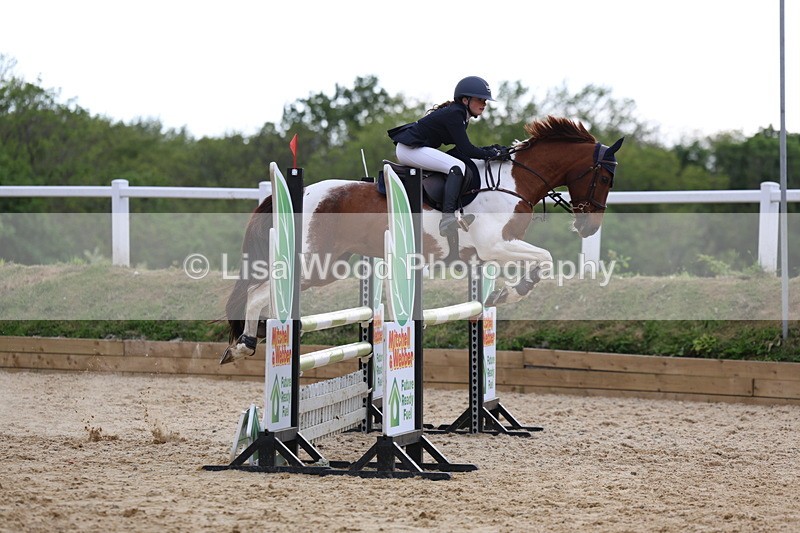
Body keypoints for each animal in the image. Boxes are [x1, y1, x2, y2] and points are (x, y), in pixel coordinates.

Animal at [220, 115, 623, 364]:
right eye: (605, 178)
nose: (589, 227)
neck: (513, 183)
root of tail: (294, 191)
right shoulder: (494, 245)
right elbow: (546, 258)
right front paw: (512, 291)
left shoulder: (488, 253)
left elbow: (537, 263)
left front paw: (501, 293)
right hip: (310, 265)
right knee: (259, 293)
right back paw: (244, 345)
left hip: (328, 266)